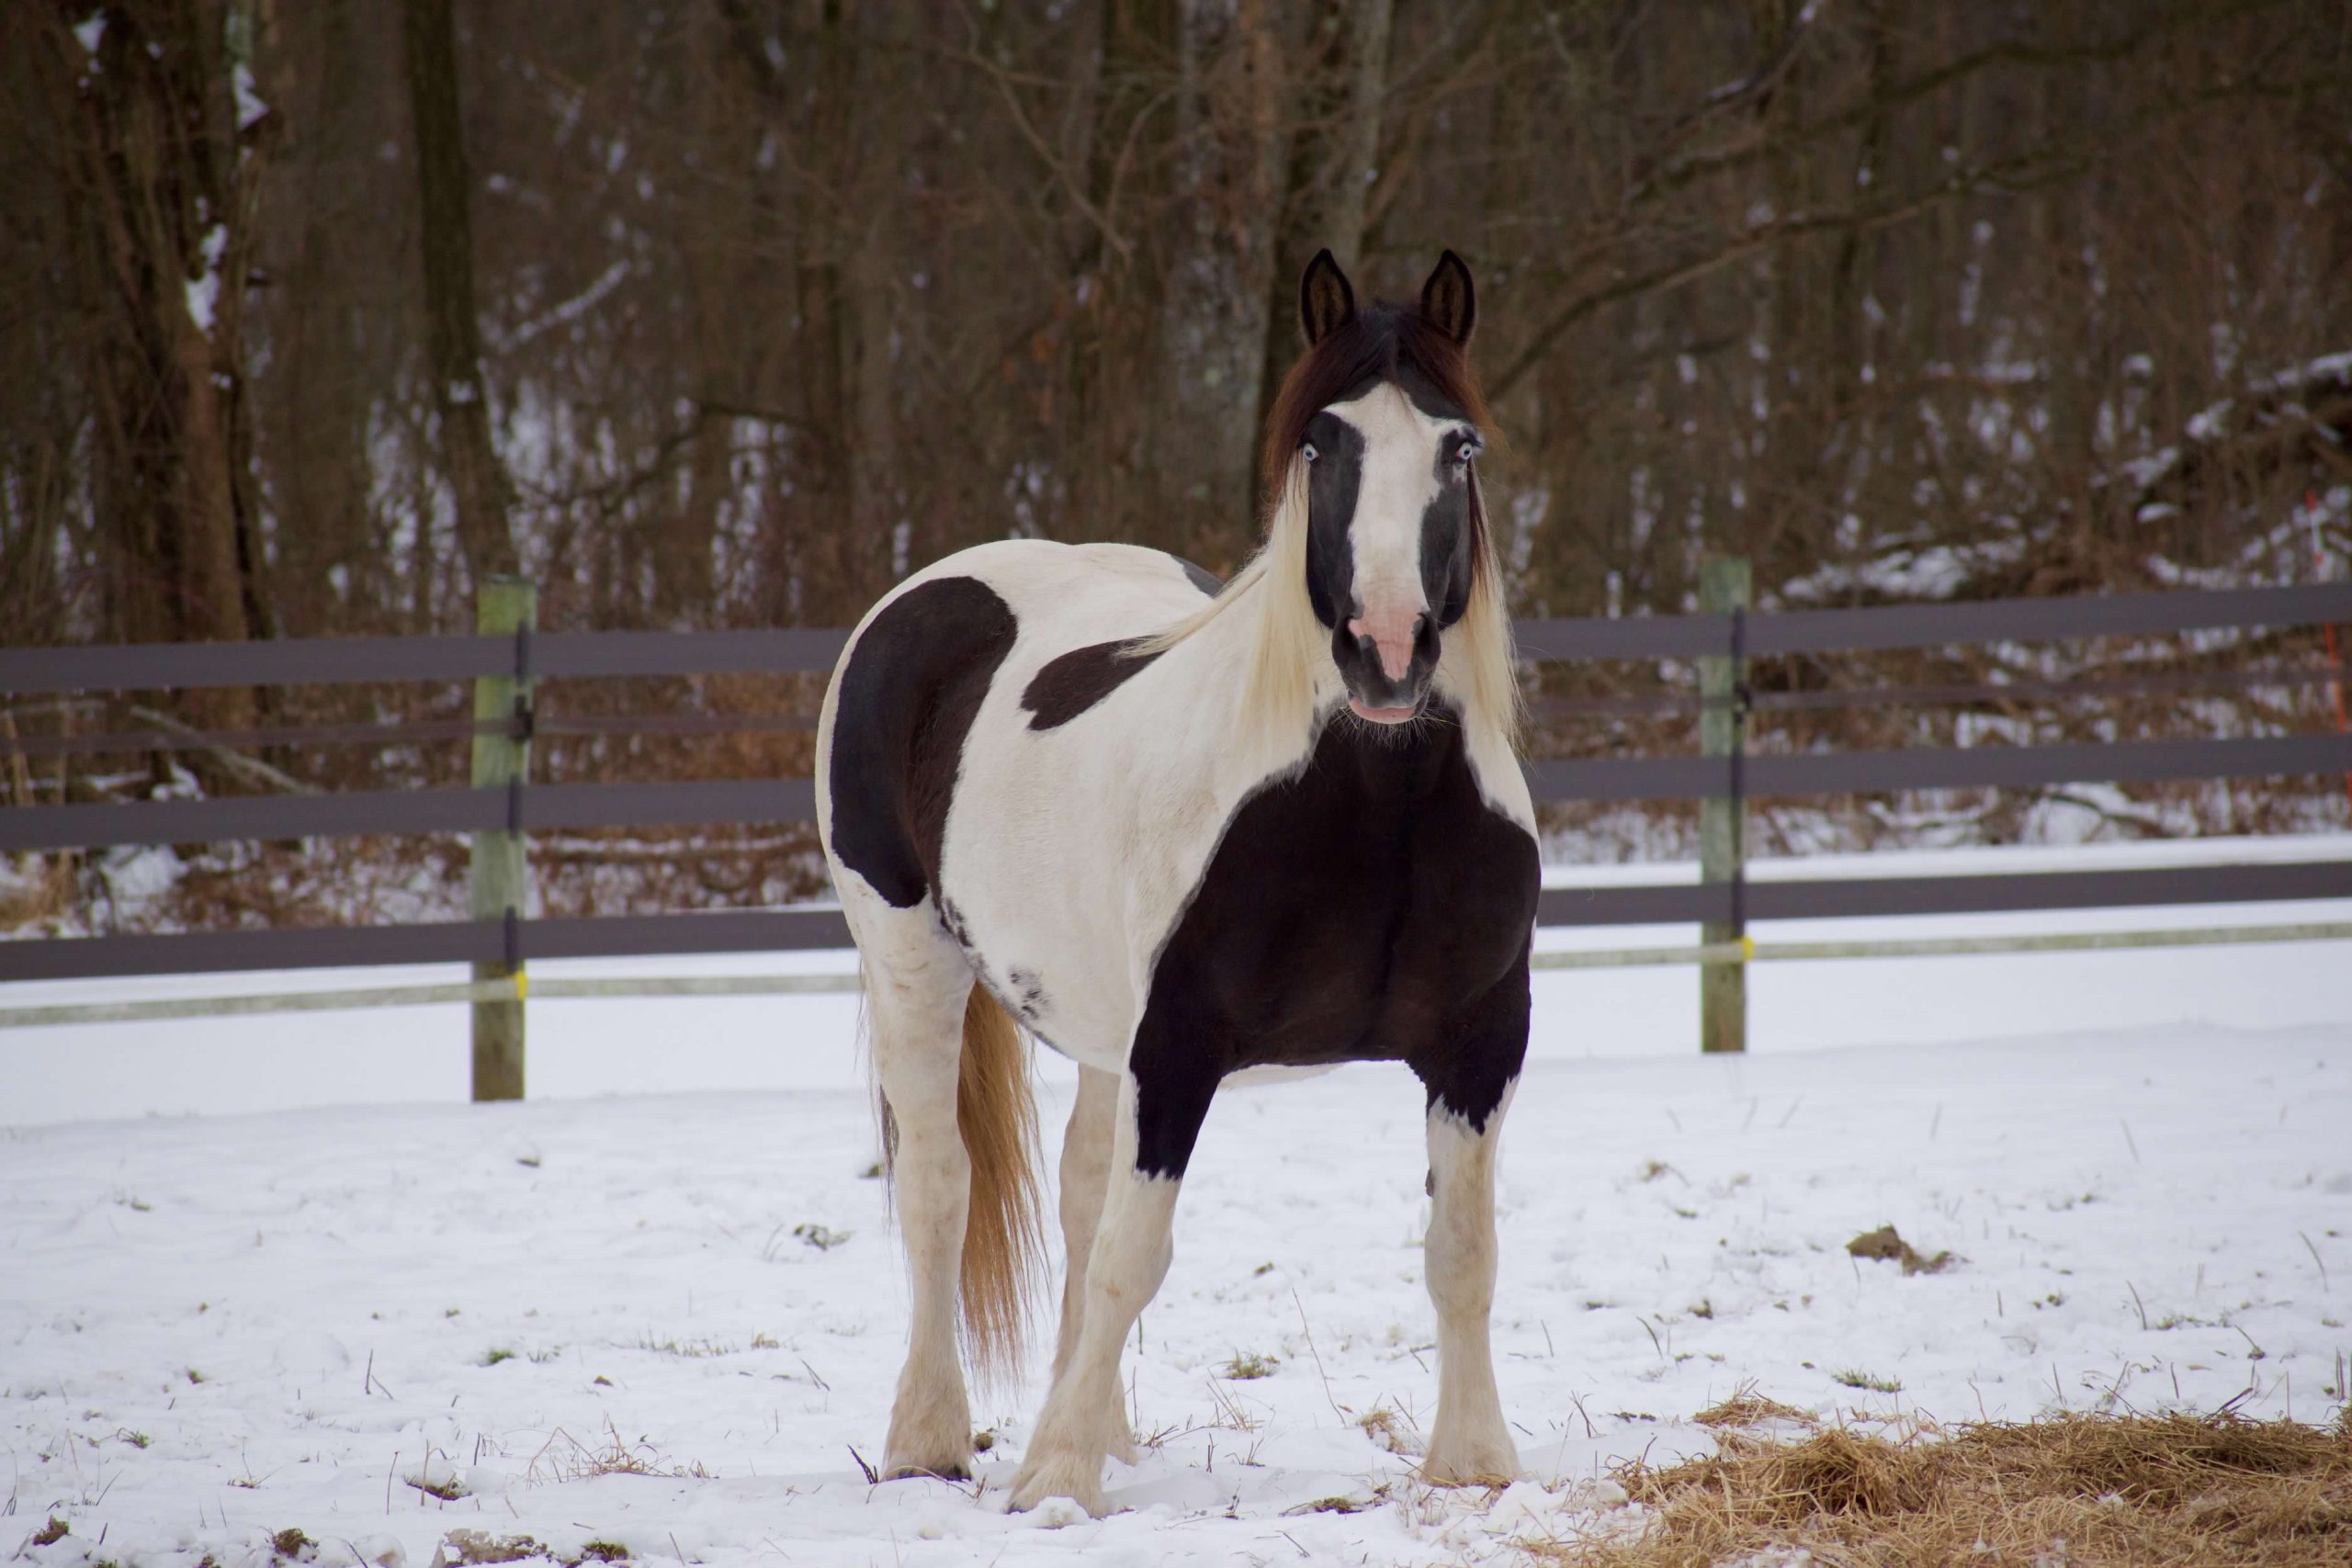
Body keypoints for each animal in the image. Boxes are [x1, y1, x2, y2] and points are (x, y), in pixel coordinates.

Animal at [813, 247, 1543, 1523]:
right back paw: (928, 1440)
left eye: (1459, 448)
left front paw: (1474, 1464)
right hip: (911, 955)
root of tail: (930, 593)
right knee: (942, 1187)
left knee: (1074, 1186)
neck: (1375, 799)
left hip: (1099, 1029)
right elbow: (1130, 1256)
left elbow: (1461, 1254)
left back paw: (1096, 1429)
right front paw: (1054, 1483)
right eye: (1321, 445)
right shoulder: (1180, 1047)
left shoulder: (1481, 1045)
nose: (1386, 650)